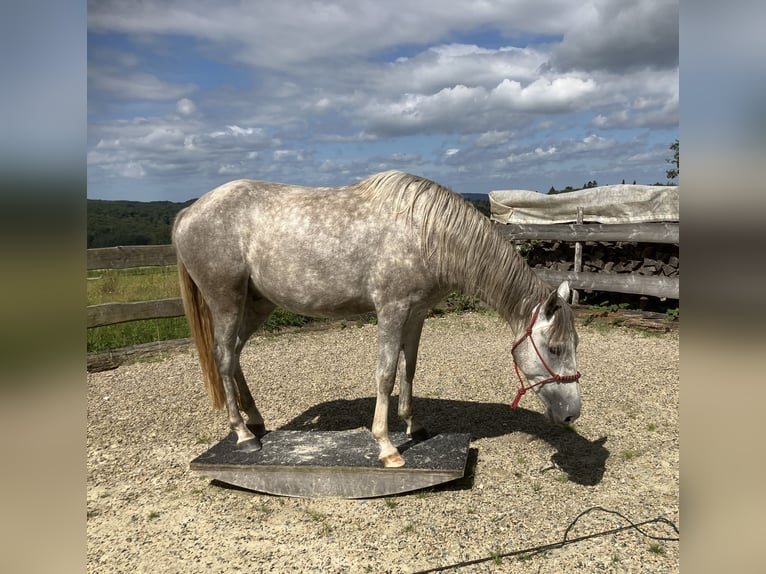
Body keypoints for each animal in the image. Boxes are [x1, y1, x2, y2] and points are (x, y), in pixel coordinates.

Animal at [174, 170, 584, 468]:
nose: (572, 414)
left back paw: (256, 420)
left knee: (236, 356)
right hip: (225, 301)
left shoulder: (416, 313)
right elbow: (385, 374)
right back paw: (244, 436)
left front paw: (414, 425)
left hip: (257, 305)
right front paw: (387, 447)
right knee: (224, 357)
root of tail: (188, 213)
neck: (427, 234)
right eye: (554, 347)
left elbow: (409, 367)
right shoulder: (391, 310)